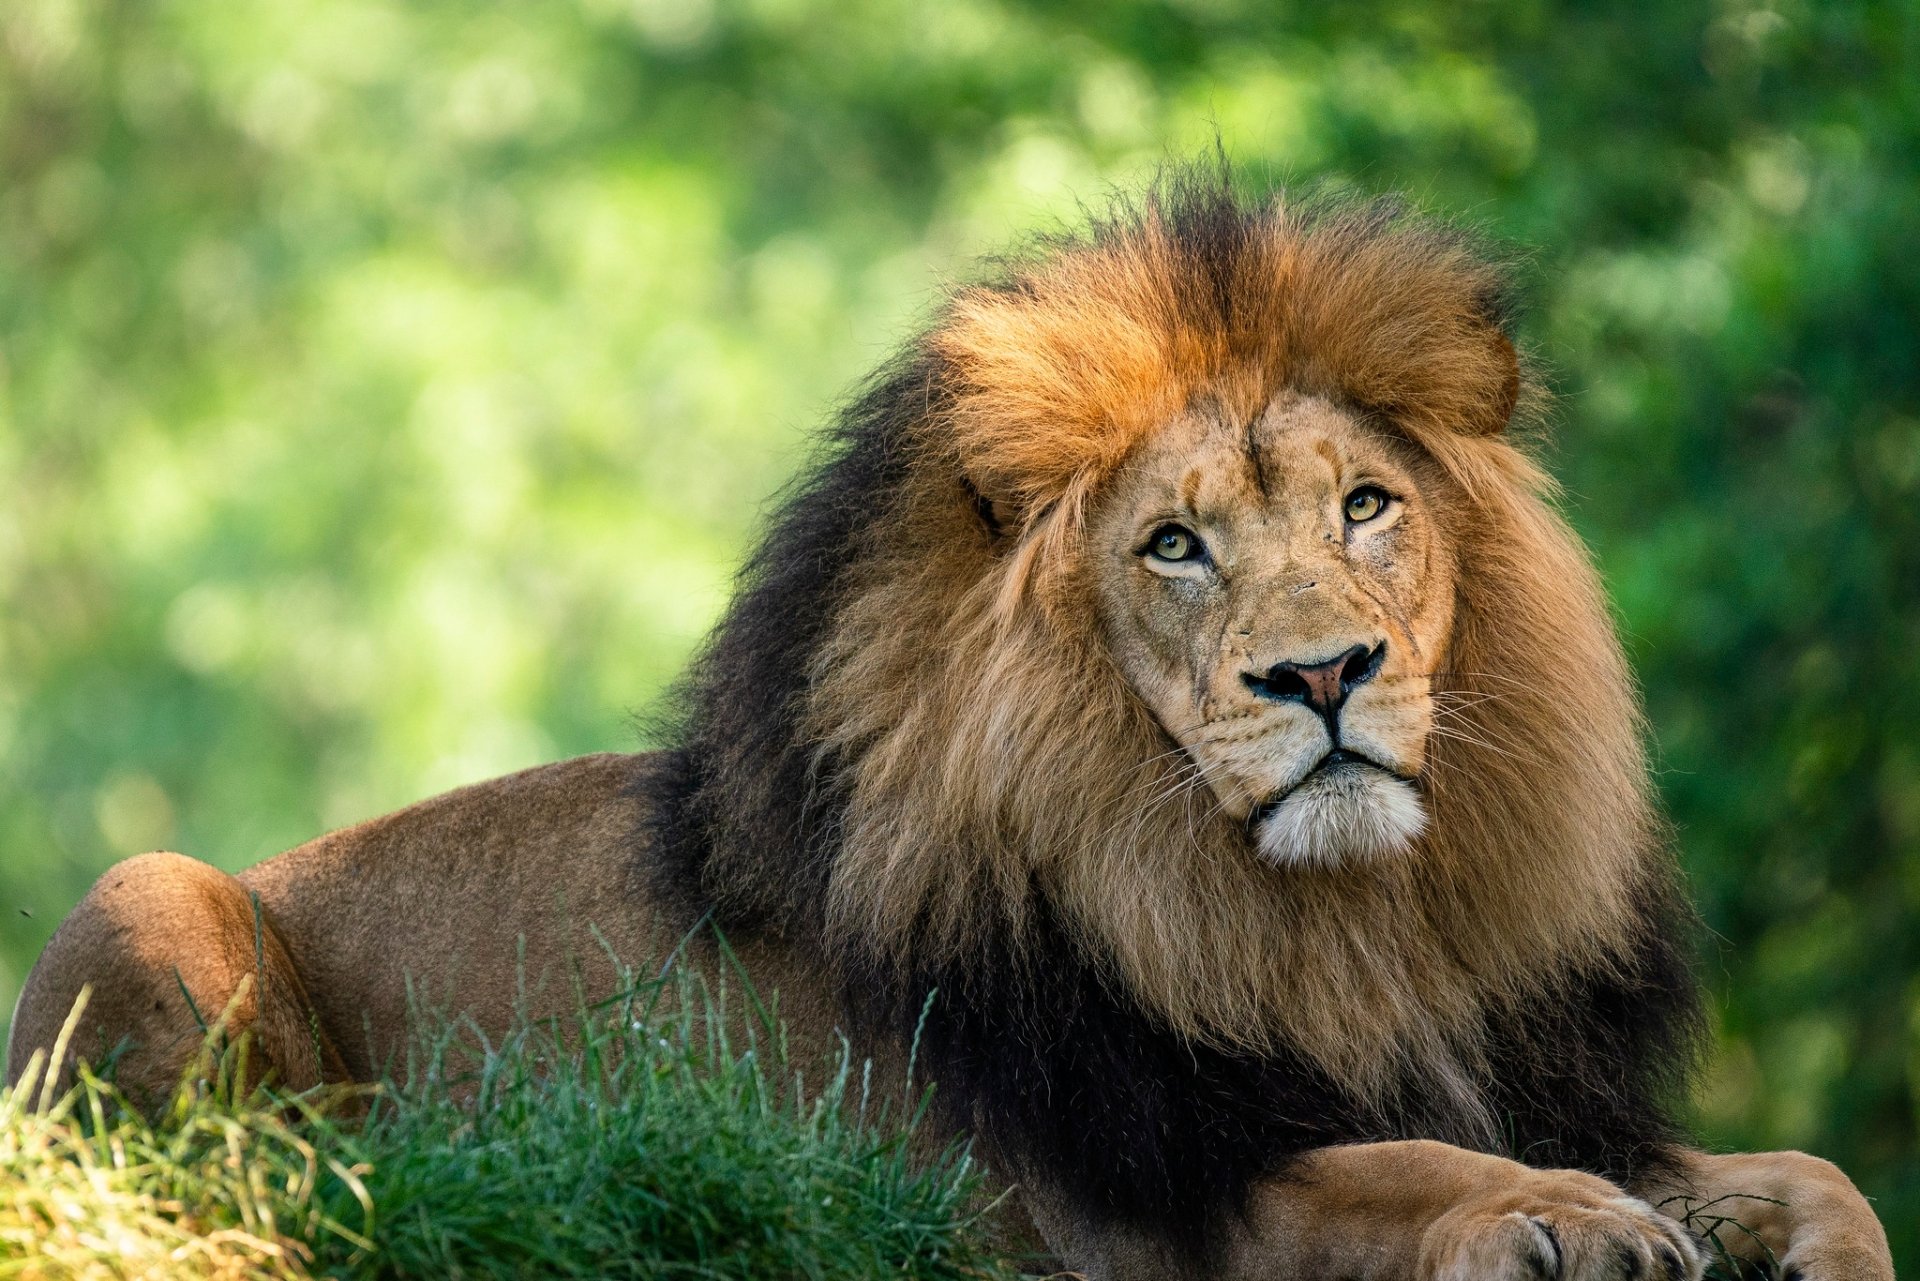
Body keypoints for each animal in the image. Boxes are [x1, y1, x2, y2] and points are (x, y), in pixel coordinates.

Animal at [6, 171, 1894, 1280]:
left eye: (1366, 507)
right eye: (1174, 544)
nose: (1324, 677)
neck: (1342, 933)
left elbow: (1815, 1171)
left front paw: (1757, 1226)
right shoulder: (1121, 1202)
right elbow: (1390, 1166)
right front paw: (1560, 1219)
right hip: (155, 894)